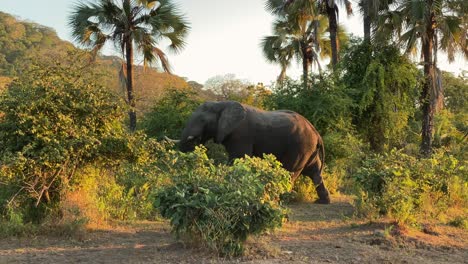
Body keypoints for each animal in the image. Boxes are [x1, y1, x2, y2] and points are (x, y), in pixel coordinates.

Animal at [177, 101, 330, 204]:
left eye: (203, 120)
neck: (222, 104)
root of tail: (316, 133)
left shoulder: (241, 135)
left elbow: (237, 160)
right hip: (308, 149)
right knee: (314, 171)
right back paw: (322, 202)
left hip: (300, 146)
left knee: (290, 171)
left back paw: (277, 200)